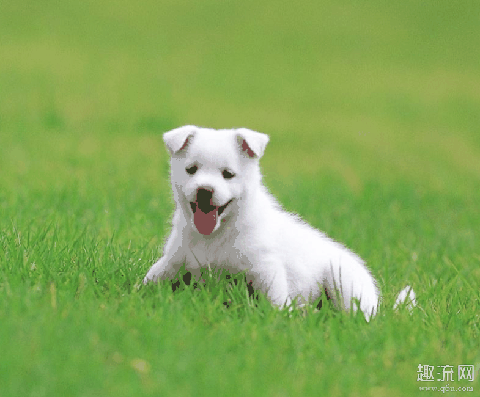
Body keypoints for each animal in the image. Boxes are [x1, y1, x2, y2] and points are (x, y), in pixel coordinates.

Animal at [142, 125, 412, 320]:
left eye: (228, 174)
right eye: (191, 170)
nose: (204, 191)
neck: (218, 234)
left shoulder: (266, 267)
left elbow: (276, 301)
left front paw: (280, 319)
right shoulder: (176, 259)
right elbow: (152, 277)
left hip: (345, 282)